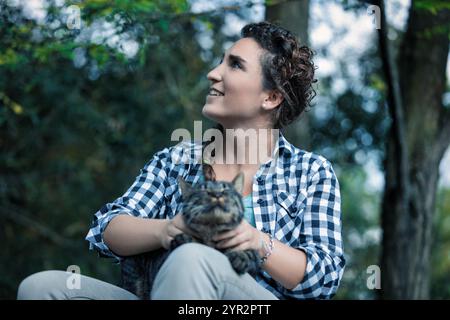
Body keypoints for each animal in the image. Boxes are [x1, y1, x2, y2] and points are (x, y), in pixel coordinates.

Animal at [120, 172, 260, 300]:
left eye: (225, 190)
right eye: (204, 190)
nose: (217, 194)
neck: (211, 233)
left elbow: (249, 253)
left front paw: (241, 256)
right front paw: (184, 239)